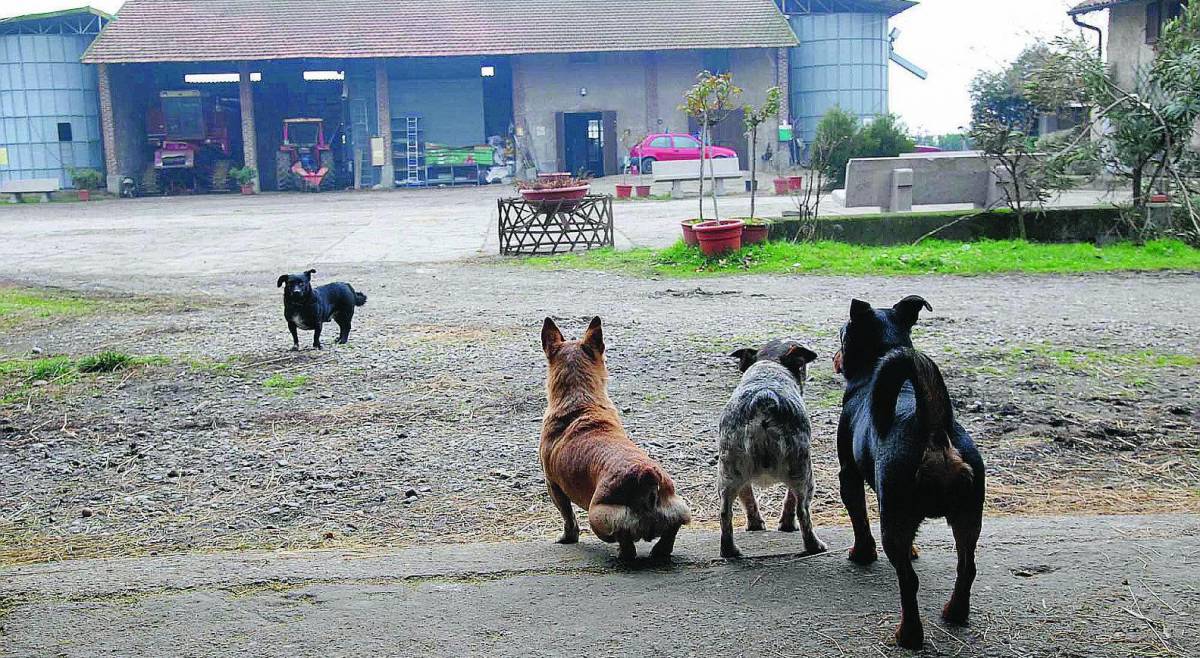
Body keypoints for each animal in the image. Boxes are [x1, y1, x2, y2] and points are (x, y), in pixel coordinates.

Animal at [540, 316, 691, 559]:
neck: (581, 401)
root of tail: (646, 476)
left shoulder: (553, 486)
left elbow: (568, 517)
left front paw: (568, 538)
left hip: (598, 515)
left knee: (624, 539)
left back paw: (622, 554)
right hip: (680, 507)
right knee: (672, 529)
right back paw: (660, 551)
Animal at [715, 338, 830, 559]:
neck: (769, 364)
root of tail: (764, 401)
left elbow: (748, 499)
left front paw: (755, 524)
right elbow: (790, 501)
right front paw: (787, 525)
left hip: (729, 472)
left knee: (725, 512)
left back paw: (729, 550)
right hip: (804, 473)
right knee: (803, 511)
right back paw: (814, 546)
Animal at [830, 295, 988, 648]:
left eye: (842, 336)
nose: (835, 356)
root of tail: (934, 431)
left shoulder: (848, 475)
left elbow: (859, 519)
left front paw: (862, 554)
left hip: (897, 518)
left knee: (908, 582)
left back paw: (909, 635)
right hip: (968, 516)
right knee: (967, 567)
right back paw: (955, 613)